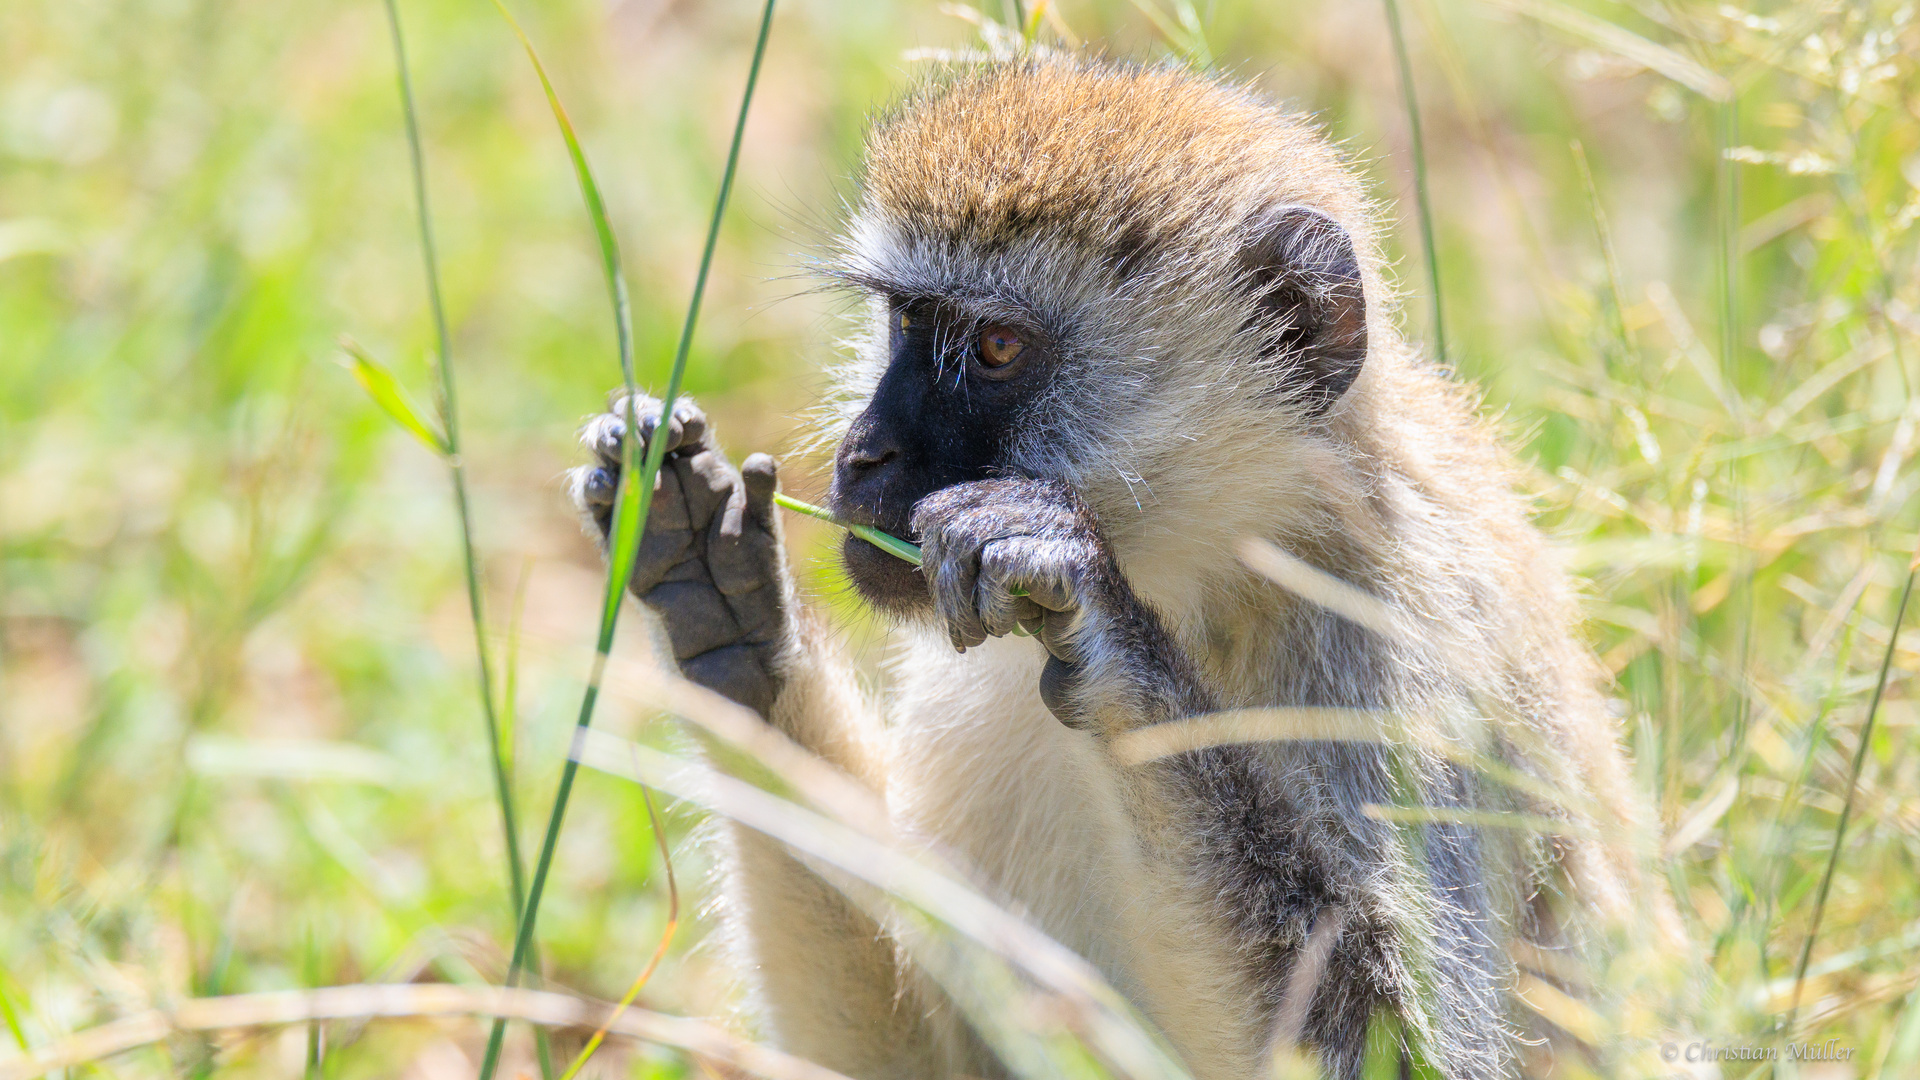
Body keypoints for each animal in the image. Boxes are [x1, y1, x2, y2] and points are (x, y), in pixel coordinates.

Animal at [564, 56, 1666, 1076]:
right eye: (909, 324)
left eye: (996, 348)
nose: (864, 453)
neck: (1216, 570)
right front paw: (723, 604)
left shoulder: (1398, 648)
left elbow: (1420, 1048)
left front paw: (1103, 629)